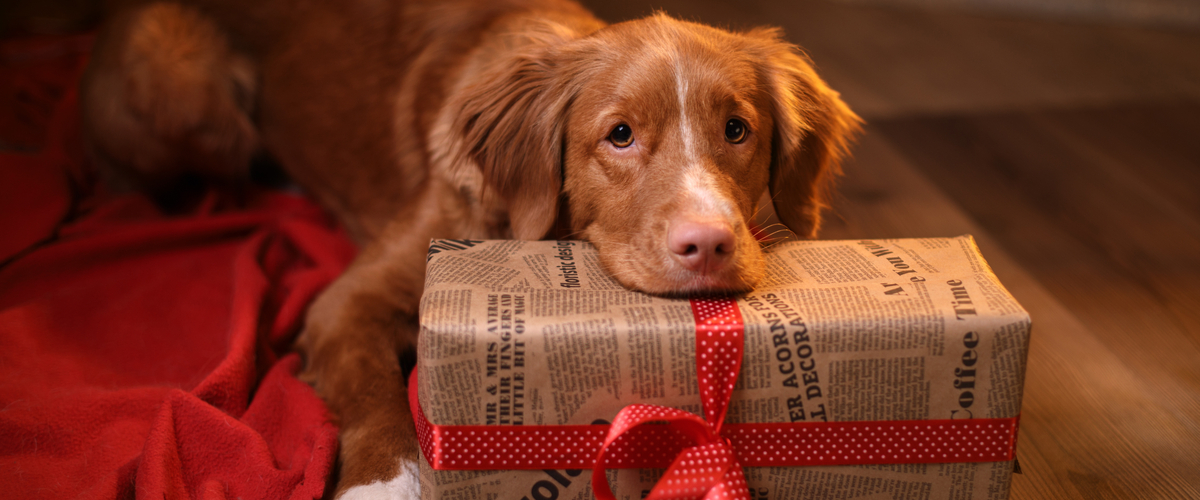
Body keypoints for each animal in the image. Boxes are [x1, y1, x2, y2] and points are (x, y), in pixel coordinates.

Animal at [79, 0, 859, 494]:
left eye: (737, 130)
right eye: (620, 135)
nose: (711, 244)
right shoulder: (345, 301)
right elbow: (376, 395)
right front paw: (381, 486)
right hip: (182, 90)